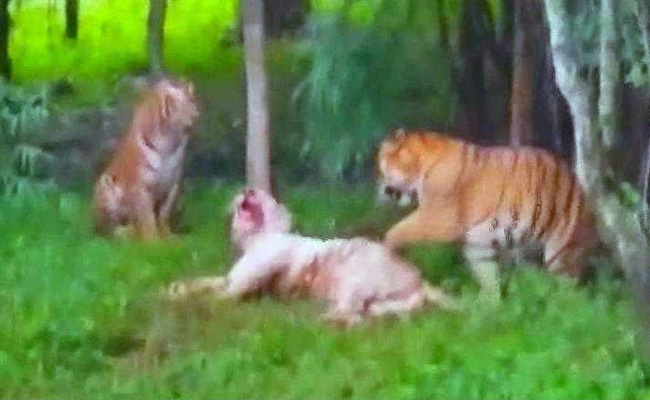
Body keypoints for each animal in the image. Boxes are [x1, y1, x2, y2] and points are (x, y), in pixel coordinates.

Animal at [376, 128, 600, 297]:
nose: (382, 189)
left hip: (561, 252)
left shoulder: (438, 218)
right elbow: (488, 279)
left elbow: (398, 231)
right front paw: (488, 310)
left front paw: (388, 249)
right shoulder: (478, 247)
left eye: (382, 165)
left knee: (570, 291)